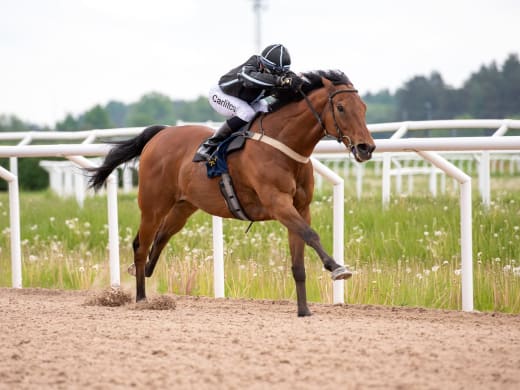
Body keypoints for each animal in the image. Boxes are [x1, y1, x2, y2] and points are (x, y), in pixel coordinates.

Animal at [89, 68, 374, 316]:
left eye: (363, 108)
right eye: (341, 108)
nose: (366, 147)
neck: (283, 145)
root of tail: (160, 134)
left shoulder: (301, 208)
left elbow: (299, 262)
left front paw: (304, 310)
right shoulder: (278, 203)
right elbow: (311, 235)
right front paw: (337, 268)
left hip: (183, 207)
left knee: (160, 239)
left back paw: (144, 275)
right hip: (153, 205)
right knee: (141, 244)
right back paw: (140, 298)